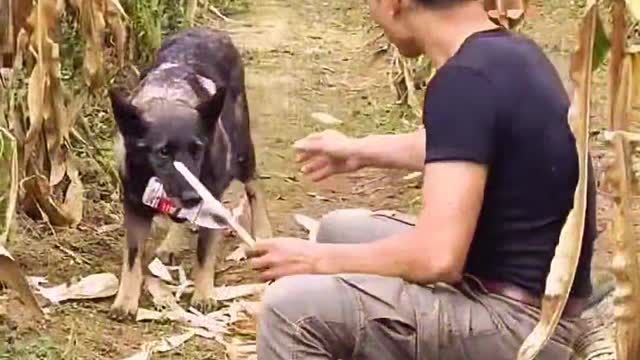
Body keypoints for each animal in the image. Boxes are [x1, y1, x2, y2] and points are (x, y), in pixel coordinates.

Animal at [108, 28, 272, 320]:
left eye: (197, 150)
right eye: (162, 152)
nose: (192, 196)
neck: (170, 98)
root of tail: (211, 31)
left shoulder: (210, 197)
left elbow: (204, 254)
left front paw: (203, 293)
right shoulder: (135, 207)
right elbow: (132, 258)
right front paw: (126, 299)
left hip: (241, 151)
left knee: (254, 183)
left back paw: (263, 229)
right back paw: (172, 243)